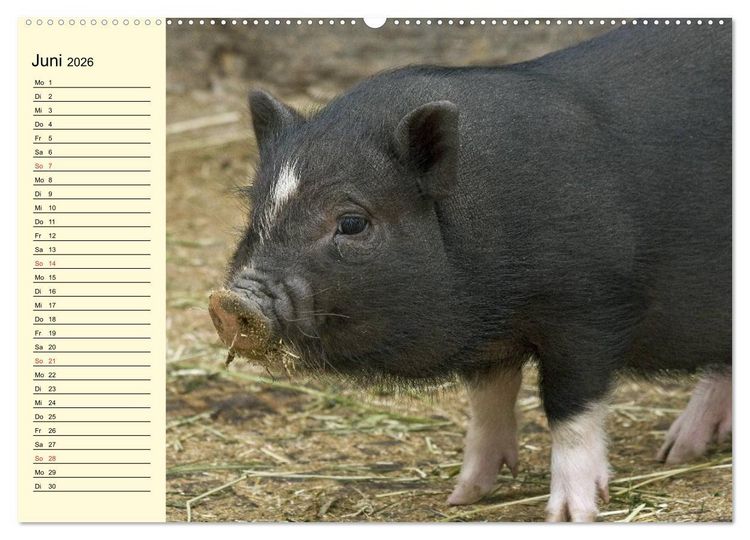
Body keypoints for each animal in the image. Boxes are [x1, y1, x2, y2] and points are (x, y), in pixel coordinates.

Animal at [209, 23, 731, 522]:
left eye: (352, 222)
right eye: (256, 211)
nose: (230, 302)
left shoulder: (591, 308)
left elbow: (570, 409)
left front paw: (570, 515)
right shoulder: (488, 339)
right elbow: (487, 402)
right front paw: (462, 498)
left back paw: (672, 453)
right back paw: (680, 451)